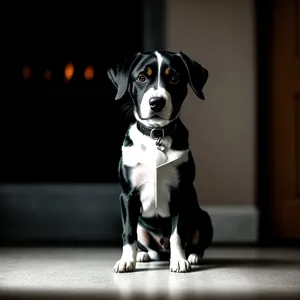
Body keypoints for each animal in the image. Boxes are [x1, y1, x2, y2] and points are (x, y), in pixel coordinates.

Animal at [108, 51, 213, 272]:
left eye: (174, 78)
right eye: (141, 77)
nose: (156, 102)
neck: (155, 135)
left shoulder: (181, 193)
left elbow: (177, 234)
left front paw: (179, 260)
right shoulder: (128, 195)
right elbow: (128, 232)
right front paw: (126, 260)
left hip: (204, 218)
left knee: (195, 243)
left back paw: (193, 256)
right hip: (142, 225)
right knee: (149, 247)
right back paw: (143, 255)